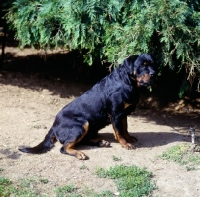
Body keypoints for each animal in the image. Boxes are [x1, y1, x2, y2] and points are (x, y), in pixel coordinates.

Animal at [19, 53, 156, 160]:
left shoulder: (124, 113)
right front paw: (125, 144)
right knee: (64, 147)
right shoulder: (116, 114)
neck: (128, 82)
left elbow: (125, 128)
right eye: (142, 65)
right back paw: (79, 153)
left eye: (152, 64)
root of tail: (54, 125)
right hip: (82, 124)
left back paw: (100, 142)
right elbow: (119, 132)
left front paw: (129, 138)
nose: (154, 73)